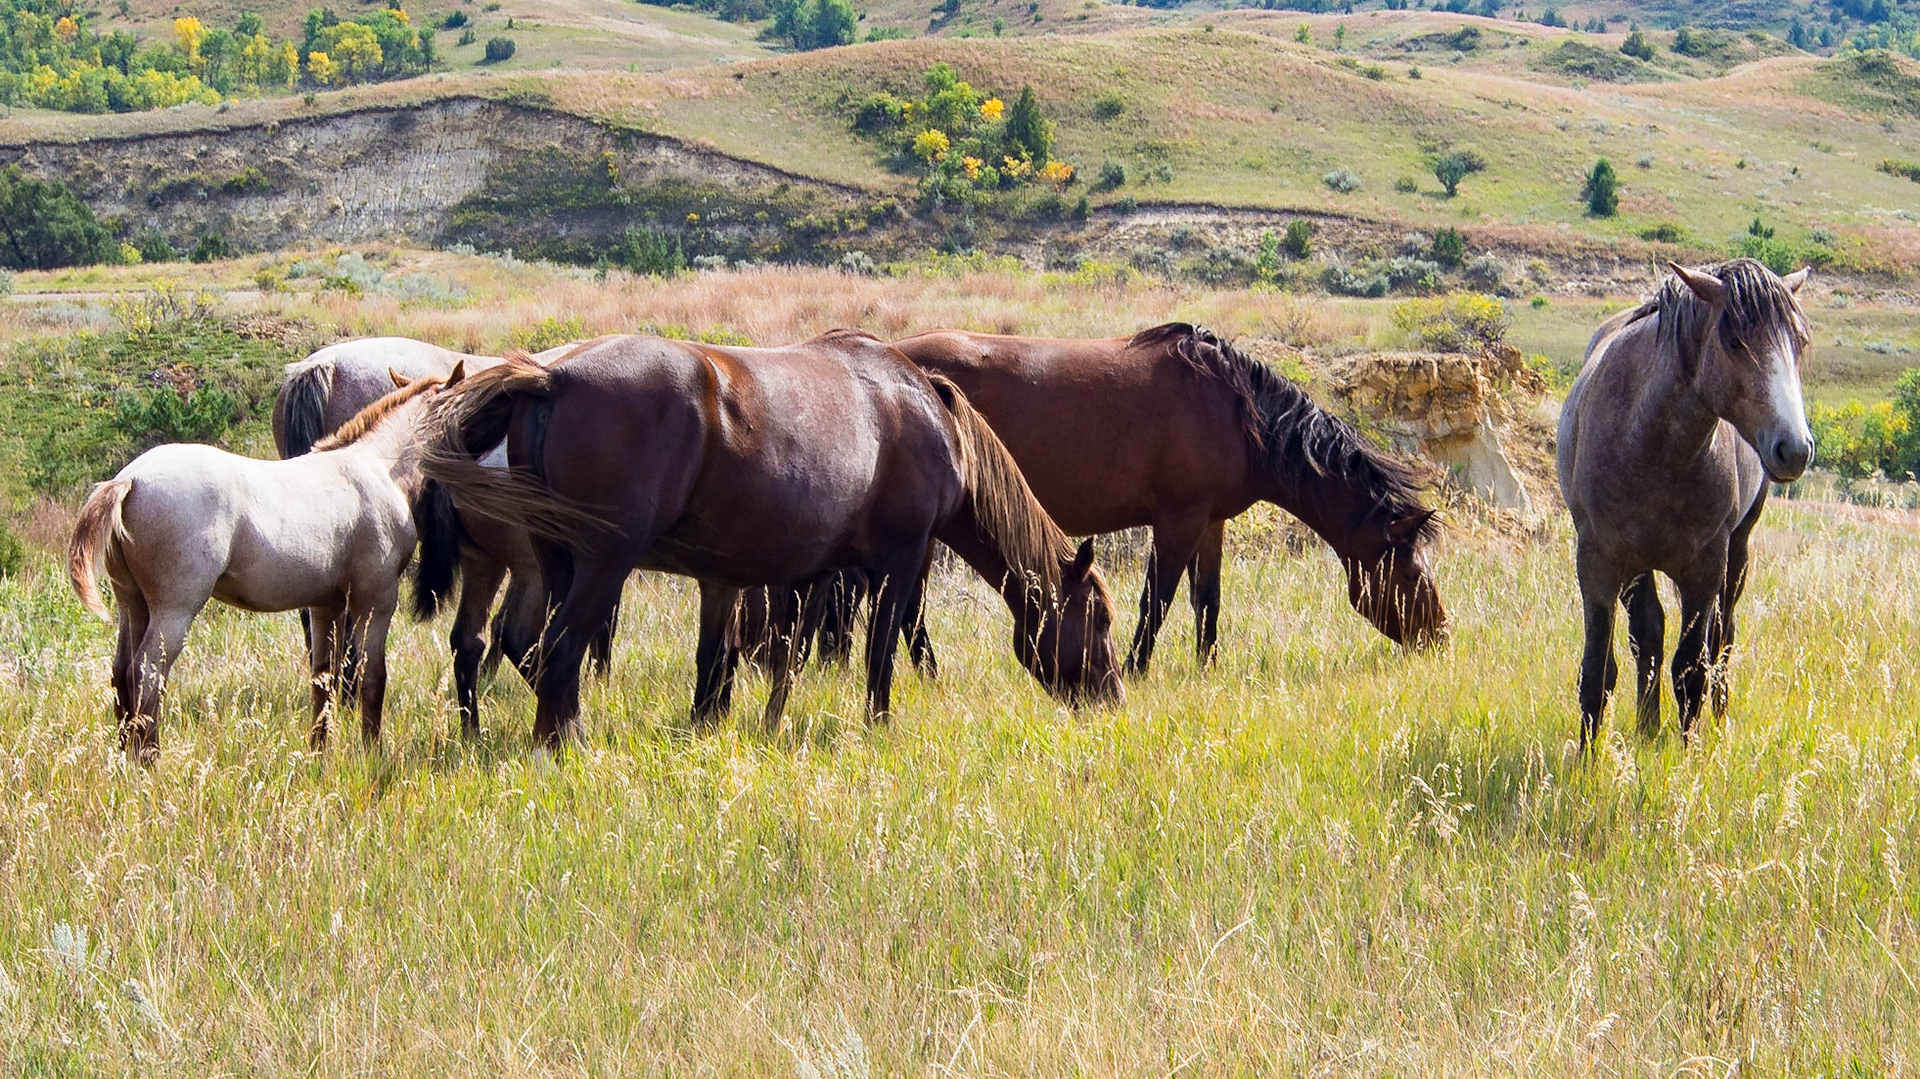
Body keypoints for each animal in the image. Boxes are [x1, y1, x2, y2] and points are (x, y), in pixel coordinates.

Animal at [67, 366, 467, 764]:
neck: (378, 466)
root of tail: (129, 479)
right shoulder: (376, 598)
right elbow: (373, 677)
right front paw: (372, 753)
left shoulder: (327, 605)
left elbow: (323, 678)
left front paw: (318, 753)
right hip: (173, 609)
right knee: (147, 673)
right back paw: (149, 760)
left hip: (132, 603)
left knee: (122, 672)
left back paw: (124, 759)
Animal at [420, 330, 1126, 747]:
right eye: (1098, 618)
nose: (1112, 698)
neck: (924, 412)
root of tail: (551, 378)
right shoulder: (898, 561)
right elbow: (879, 655)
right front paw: (878, 728)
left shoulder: (809, 570)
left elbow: (778, 655)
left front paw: (761, 724)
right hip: (602, 566)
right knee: (561, 654)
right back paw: (567, 749)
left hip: (555, 564)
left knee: (530, 647)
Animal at [889, 323, 1446, 674]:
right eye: (1411, 574)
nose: (1440, 638)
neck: (1236, 413)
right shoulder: (1178, 519)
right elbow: (1156, 600)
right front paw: (1135, 668)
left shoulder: (1211, 522)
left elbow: (1208, 600)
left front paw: (1207, 668)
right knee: (911, 609)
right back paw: (933, 677)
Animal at [1558, 259, 1813, 750]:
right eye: (1733, 341)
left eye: (1800, 341)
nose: (1795, 448)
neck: (1650, 444)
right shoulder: (1599, 562)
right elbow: (1598, 672)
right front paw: (1587, 761)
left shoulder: (1705, 569)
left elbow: (1691, 669)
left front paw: (1689, 755)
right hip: (1639, 569)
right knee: (1649, 635)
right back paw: (1646, 725)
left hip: (1737, 552)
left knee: (1722, 639)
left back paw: (1717, 721)